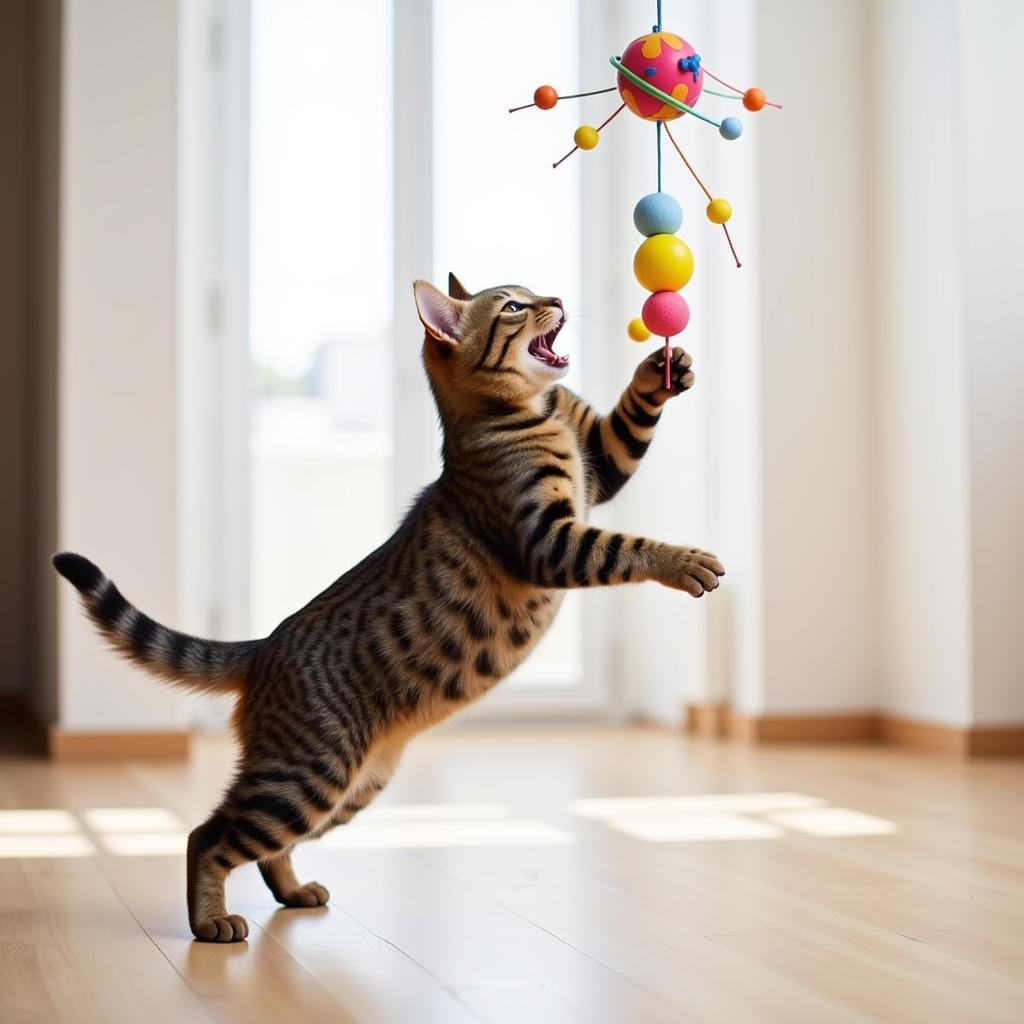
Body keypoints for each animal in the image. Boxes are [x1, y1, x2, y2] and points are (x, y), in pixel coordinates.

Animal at [56, 274, 724, 942]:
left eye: (532, 288)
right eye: (514, 305)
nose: (556, 296)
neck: (540, 411)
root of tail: (264, 646)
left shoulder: (598, 466)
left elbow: (624, 434)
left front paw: (660, 372)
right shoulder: (548, 541)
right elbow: (625, 547)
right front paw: (683, 561)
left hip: (355, 786)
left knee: (269, 848)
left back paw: (294, 891)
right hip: (306, 774)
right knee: (208, 834)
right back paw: (212, 920)